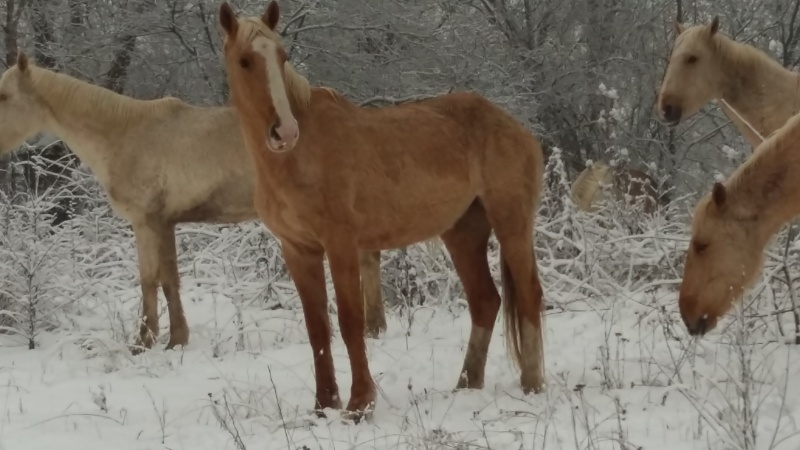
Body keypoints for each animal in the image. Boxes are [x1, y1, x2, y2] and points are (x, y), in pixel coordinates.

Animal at [0, 51, 390, 352]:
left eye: (4, 95)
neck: (124, 134)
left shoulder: (146, 223)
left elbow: (149, 279)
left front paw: (144, 342)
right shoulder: (164, 224)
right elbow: (169, 279)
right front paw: (176, 339)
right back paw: (375, 328)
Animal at [216, 1, 548, 420]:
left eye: (282, 56)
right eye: (245, 61)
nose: (284, 132)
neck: (299, 156)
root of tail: (515, 127)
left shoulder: (341, 245)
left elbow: (350, 321)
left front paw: (359, 404)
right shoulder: (298, 250)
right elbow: (317, 327)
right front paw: (324, 404)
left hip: (512, 225)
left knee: (529, 294)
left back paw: (533, 383)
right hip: (463, 233)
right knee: (486, 301)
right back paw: (466, 383)